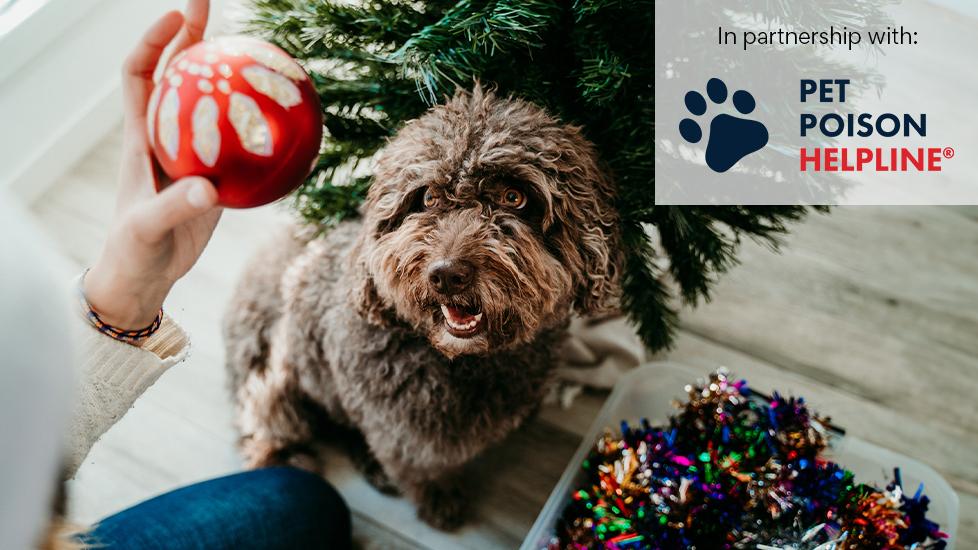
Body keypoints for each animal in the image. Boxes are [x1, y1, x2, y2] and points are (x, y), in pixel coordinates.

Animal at [223, 85, 616, 532]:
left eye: (514, 197)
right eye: (427, 197)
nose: (447, 275)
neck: (462, 361)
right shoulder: (402, 432)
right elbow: (422, 466)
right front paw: (439, 497)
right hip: (277, 373)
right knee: (268, 416)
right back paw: (285, 455)